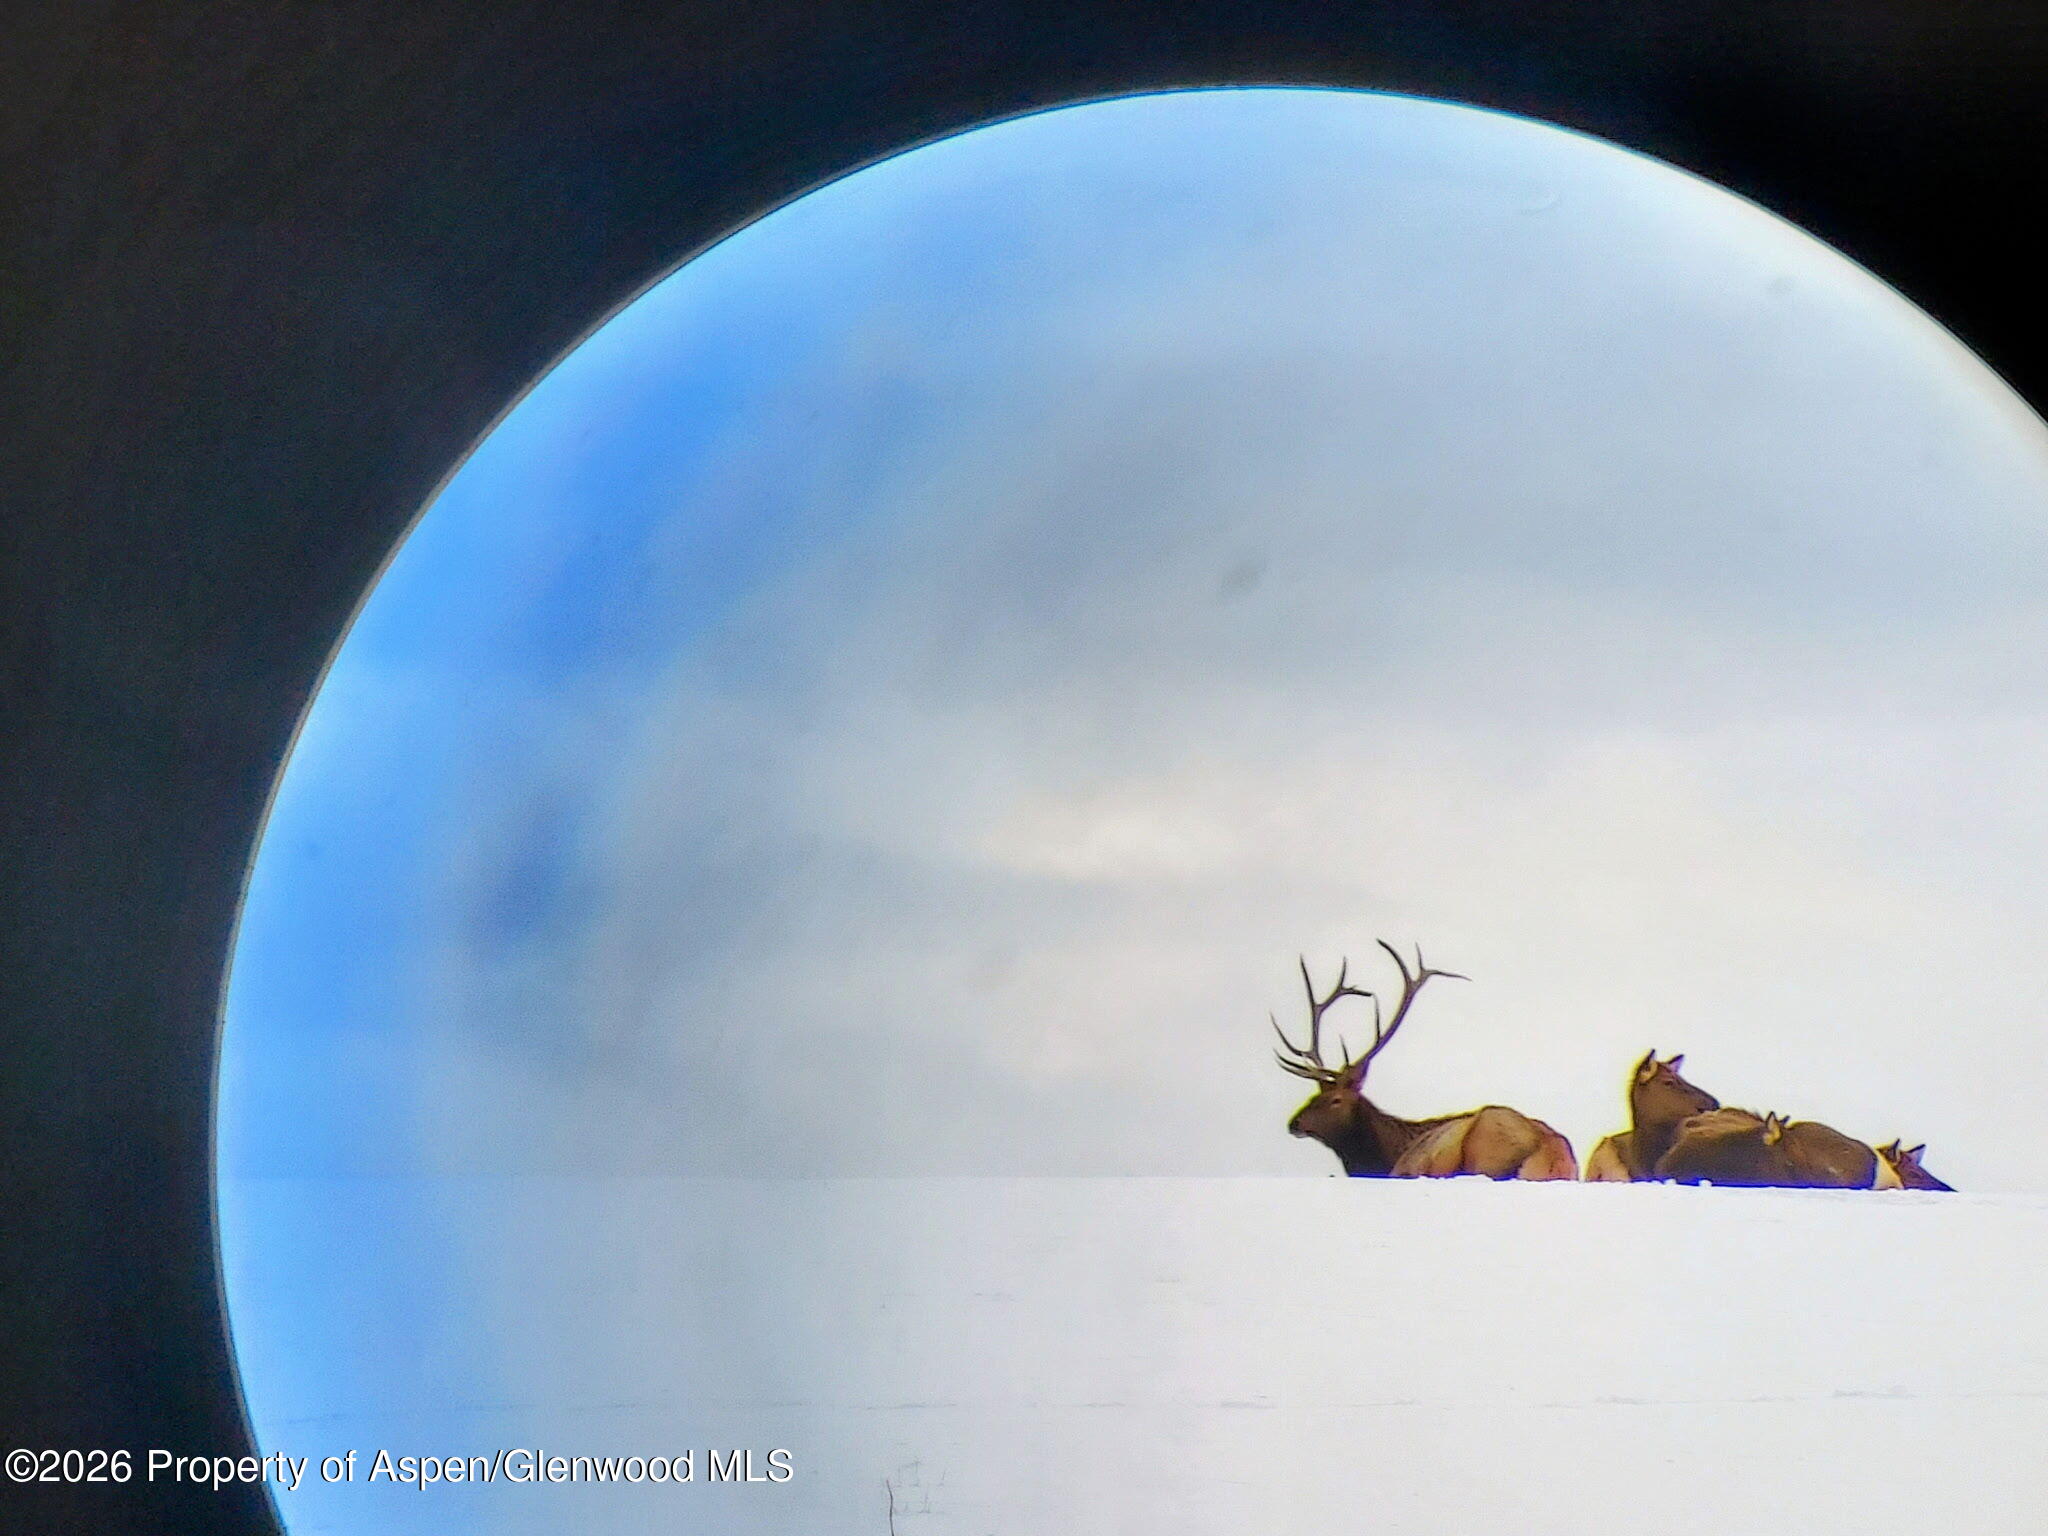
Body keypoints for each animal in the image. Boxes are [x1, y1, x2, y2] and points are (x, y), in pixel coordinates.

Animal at [1271, 940, 1577, 1180]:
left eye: (1334, 1100)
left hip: (1485, 1152)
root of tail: (1550, 1154)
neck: (1381, 1158)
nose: (1293, 1123)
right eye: (1313, 1095)